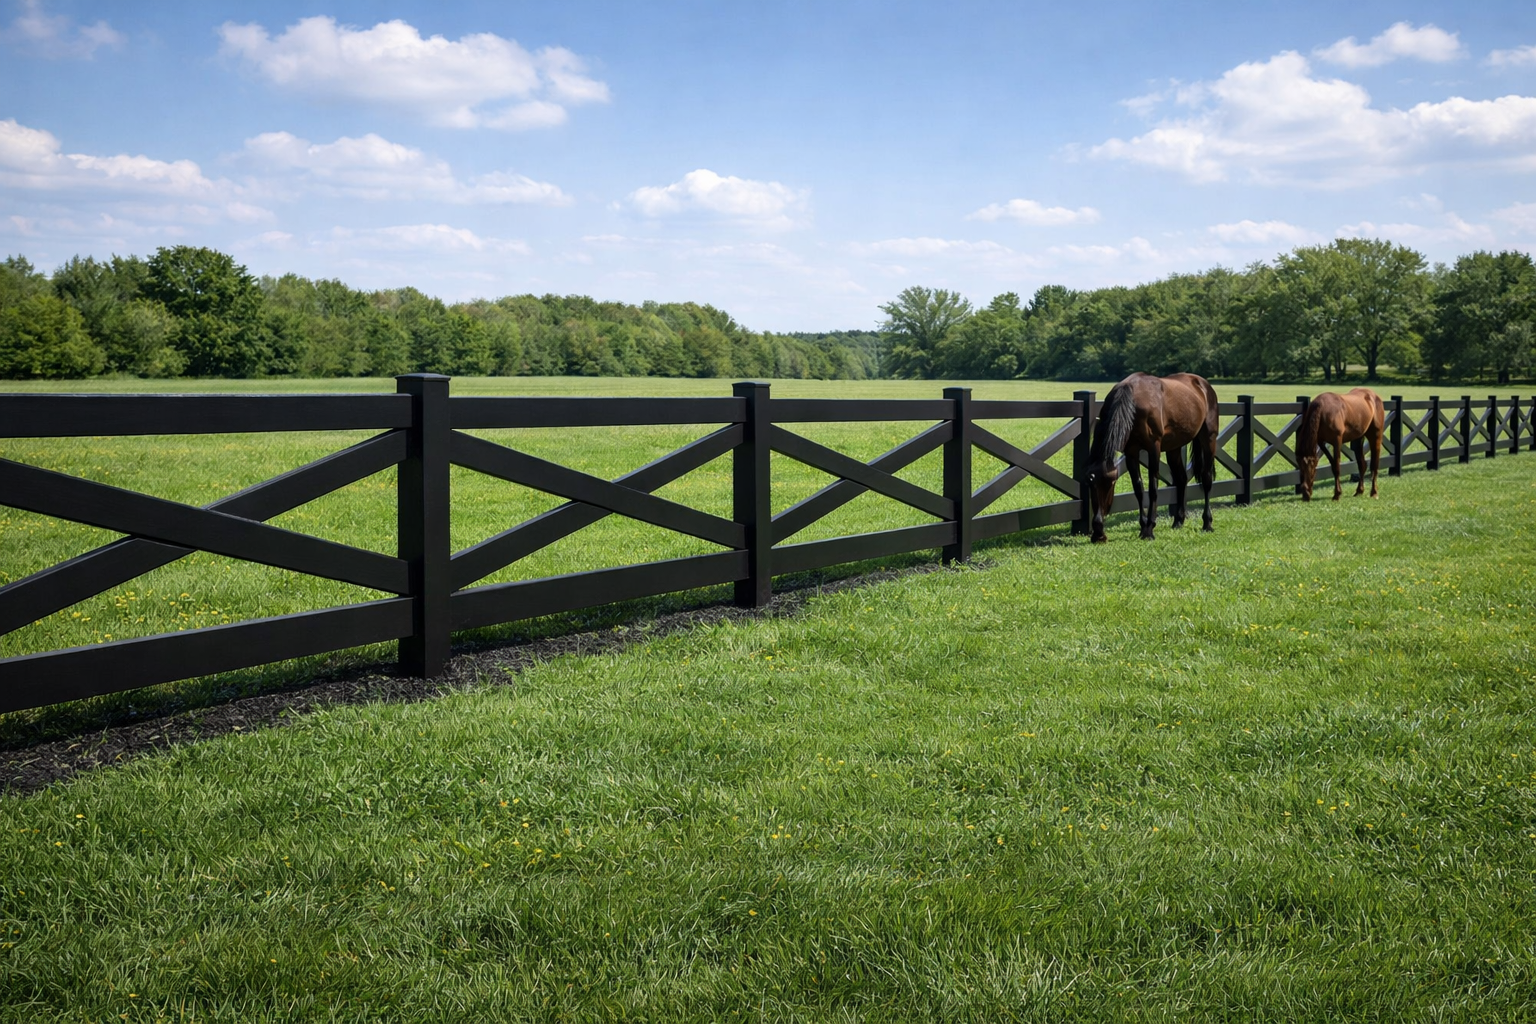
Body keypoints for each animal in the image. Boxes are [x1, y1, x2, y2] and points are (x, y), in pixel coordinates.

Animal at [1085, 372, 1219, 543]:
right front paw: (1143, 525)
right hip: (1174, 447)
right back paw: (1178, 521)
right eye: (1090, 482)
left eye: (1110, 482)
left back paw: (1207, 523)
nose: (1098, 534)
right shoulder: (1131, 451)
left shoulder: (1153, 448)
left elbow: (1153, 488)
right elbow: (1138, 488)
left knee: (1207, 478)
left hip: (1208, 438)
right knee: (1181, 479)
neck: (1132, 401)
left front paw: (1149, 529)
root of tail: (1203, 384)